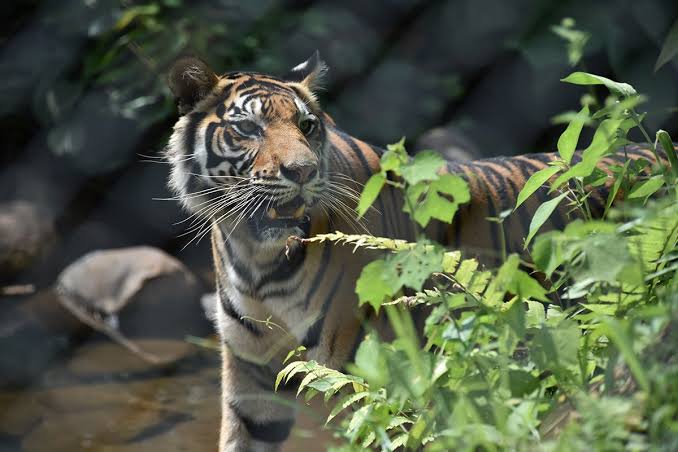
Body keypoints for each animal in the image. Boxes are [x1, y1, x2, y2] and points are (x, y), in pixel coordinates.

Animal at [165, 51, 664, 450]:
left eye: (306, 125)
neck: (257, 259)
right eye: (248, 128)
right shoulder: (250, 384)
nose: (303, 172)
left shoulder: (379, 381)